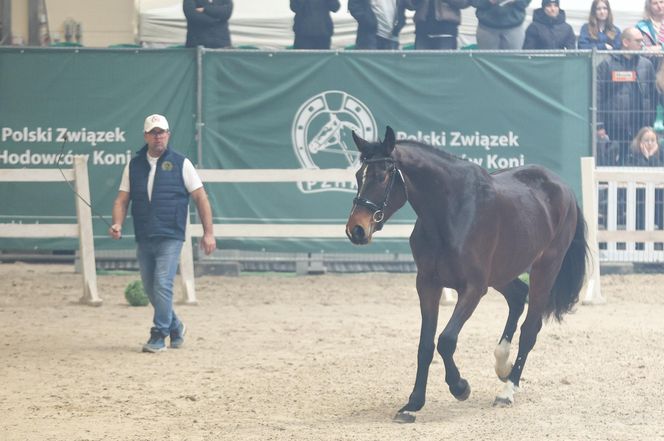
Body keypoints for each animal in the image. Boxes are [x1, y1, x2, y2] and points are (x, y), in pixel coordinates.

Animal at [344, 125, 588, 422]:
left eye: (382, 176)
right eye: (359, 175)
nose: (356, 229)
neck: (449, 212)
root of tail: (563, 187)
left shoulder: (472, 288)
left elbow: (446, 340)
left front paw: (460, 387)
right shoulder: (427, 284)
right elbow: (425, 345)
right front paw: (413, 404)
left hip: (544, 269)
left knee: (530, 329)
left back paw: (507, 390)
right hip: (502, 273)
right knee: (518, 297)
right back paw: (502, 363)